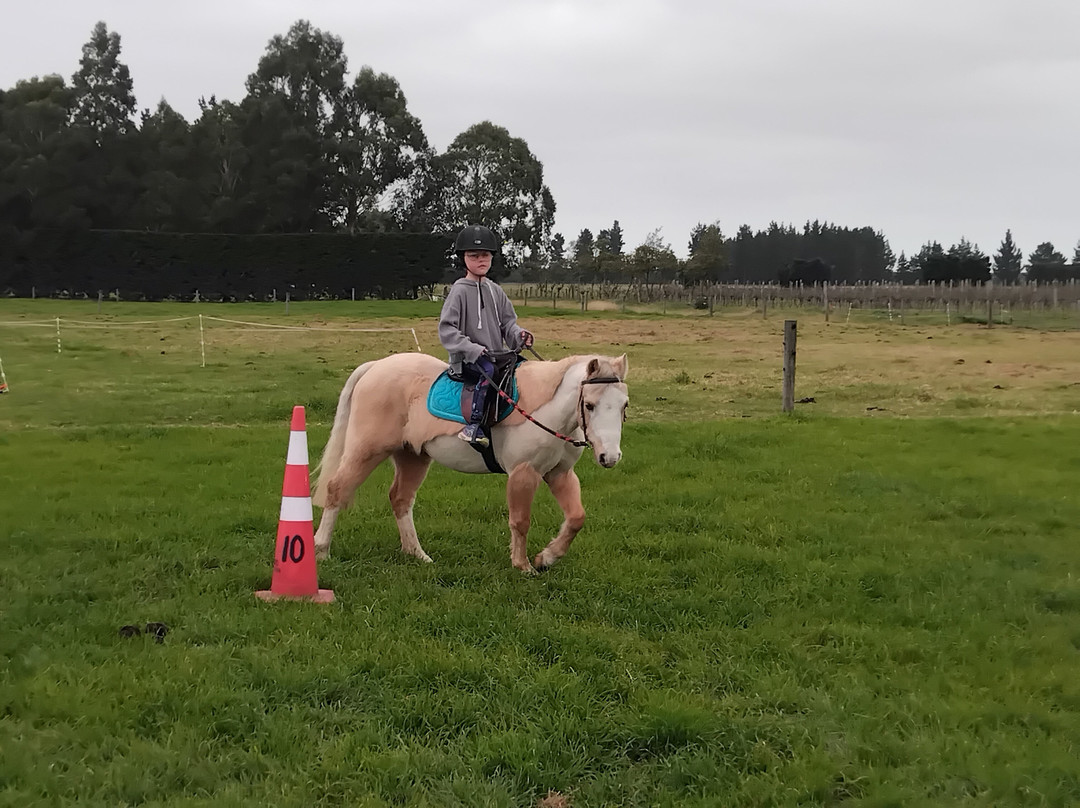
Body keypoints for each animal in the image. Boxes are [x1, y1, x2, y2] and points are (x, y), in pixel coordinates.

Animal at [311, 351, 629, 574]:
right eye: (589, 405)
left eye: (624, 405)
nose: (610, 457)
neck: (545, 410)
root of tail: (376, 366)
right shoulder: (523, 473)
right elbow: (520, 521)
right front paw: (522, 565)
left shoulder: (560, 474)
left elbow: (576, 518)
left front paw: (546, 558)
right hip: (366, 450)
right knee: (337, 489)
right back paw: (321, 549)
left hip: (413, 456)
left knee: (400, 499)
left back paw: (417, 554)